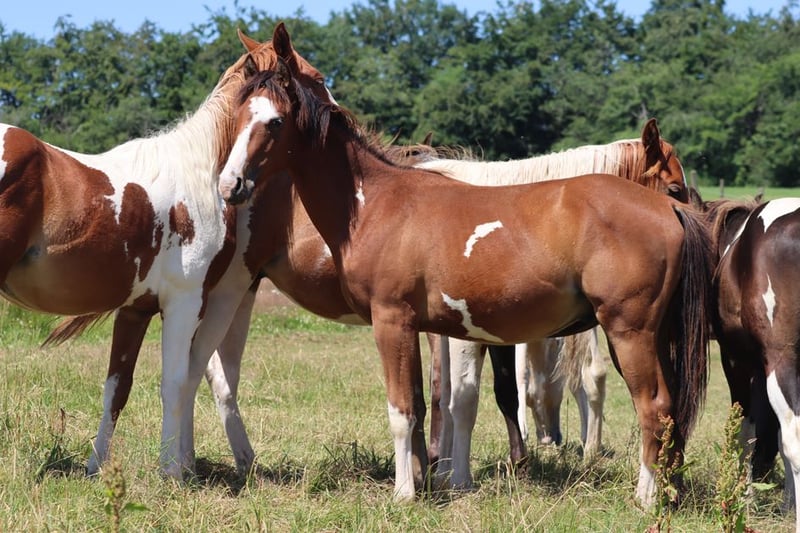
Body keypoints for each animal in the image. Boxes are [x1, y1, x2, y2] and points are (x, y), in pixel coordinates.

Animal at [8, 23, 335, 480]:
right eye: (318, 79)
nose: (337, 116)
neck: (199, 172)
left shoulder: (135, 309)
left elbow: (117, 388)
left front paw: (96, 466)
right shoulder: (184, 301)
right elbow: (175, 382)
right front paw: (172, 471)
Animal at [218, 60, 713, 504]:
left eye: (275, 121)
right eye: (239, 117)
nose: (229, 184)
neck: (376, 202)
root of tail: (670, 214)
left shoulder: (393, 321)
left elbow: (405, 409)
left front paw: (404, 494)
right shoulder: (423, 328)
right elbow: (427, 405)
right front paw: (430, 480)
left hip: (629, 332)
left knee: (655, 408)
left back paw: (646, 498)